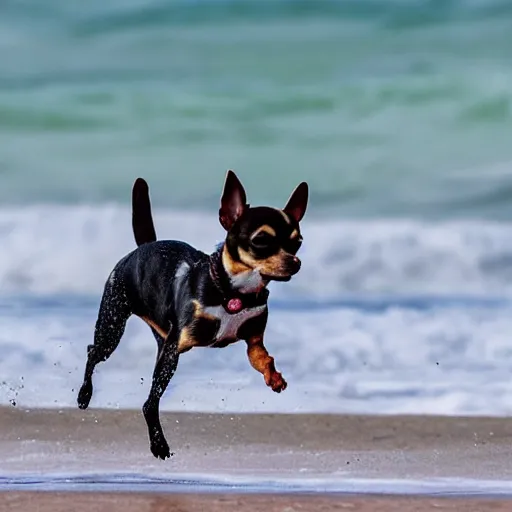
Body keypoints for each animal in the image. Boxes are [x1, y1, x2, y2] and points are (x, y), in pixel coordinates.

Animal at [76, 169, 308, 460]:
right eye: (261, 240)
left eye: (298, 243)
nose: (295, 263)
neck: (231, 291)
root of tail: (143, 247)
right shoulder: (175, 348)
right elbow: (150, 404)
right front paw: (158, 444)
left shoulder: (253, 341)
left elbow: (264, 358)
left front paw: (274, 377)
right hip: (113, 325)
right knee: (93, 351)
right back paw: (84, 395)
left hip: (159, 337)